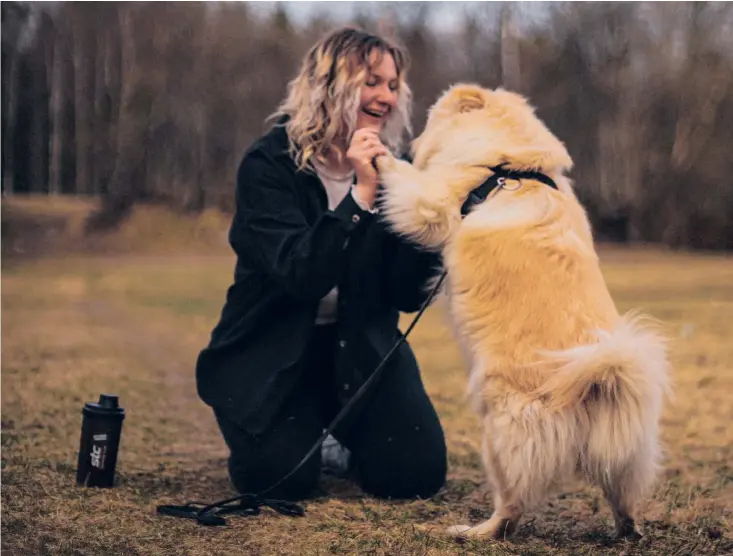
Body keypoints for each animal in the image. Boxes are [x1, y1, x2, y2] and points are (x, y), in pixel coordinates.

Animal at [378, 84, 668, 540]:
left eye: (428, 121)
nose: (410, 144)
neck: (511, 166)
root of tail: (597, 384)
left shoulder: (433, 200)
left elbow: (406, 185)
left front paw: (378, 155)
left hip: (499, 437)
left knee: (511, 507)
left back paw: (474, 532)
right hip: (624, 453)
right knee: (621, 496)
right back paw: (627, 531)